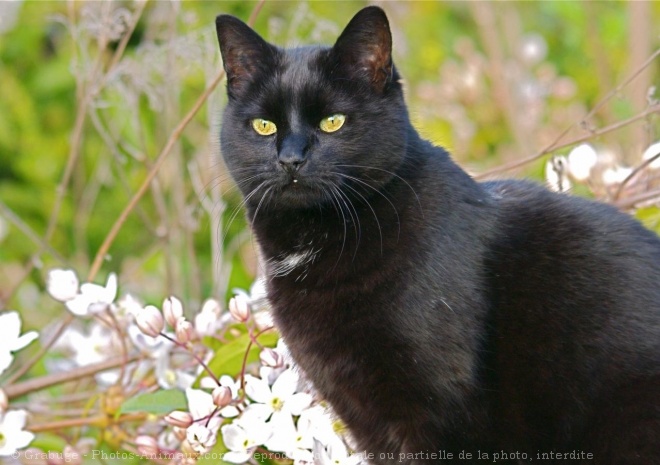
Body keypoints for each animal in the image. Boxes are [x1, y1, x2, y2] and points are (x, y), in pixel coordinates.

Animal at [214, 7, 656, 464]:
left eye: (333, 122)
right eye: (264, 126)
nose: (291, 159)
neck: (315, 242)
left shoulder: (443, 409)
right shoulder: (363, 415)